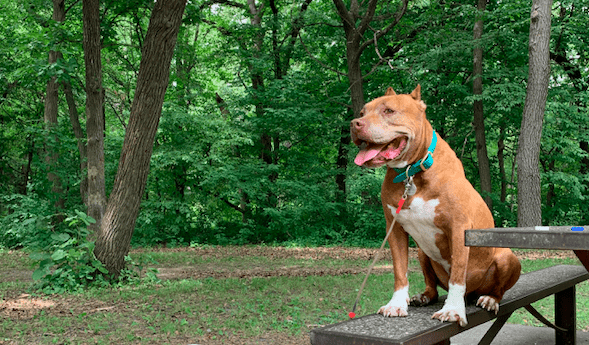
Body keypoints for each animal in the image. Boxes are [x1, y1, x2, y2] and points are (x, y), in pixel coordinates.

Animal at [350, 85, 520, 326]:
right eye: (363, 112)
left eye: (389, 110)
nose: (355, 123)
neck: (412, 172)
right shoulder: (395, 229)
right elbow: (400, 271)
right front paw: (396, 304)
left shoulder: (458, 228)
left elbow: (457, 274)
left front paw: (452, 310)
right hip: (423, 252)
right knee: (432, 286)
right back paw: (423, 296)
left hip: (508, 257)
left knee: (497, 289)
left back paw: (489, 299)